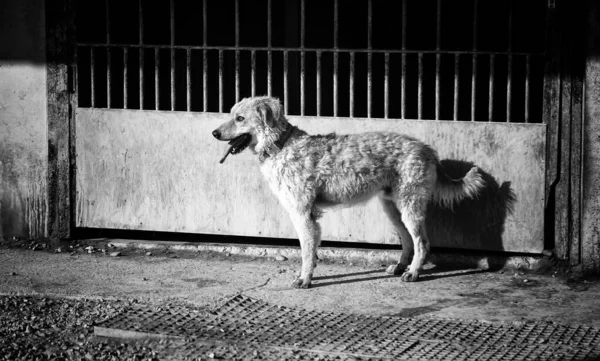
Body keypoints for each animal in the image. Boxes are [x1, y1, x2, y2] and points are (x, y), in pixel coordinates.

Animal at [211, 95, 482, 286]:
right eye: (232, 114)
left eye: (240, 118)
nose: (214, 132)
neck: (281, 145)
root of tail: (427, 148)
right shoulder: (308, 216)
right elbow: (312, 250)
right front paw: (310, 274)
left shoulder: (302, 213)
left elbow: (306, 250)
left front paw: (304, 279)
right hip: (392, 208)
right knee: (407, 241)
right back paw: (399, 268)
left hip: (410, 207)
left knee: (422, 242)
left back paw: (413, 273)